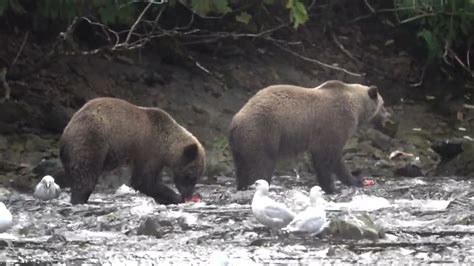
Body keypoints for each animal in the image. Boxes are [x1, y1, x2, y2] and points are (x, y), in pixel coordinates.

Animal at [59, 97, 206, 204]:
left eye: (197, 177)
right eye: (190, 176)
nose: (188, 194)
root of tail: (66, 130)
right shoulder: (149, 150)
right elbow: (143, 181)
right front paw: (175, 197)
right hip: (91, 139)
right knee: (86, 174)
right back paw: (79, 199)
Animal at [229, 80, 388, 194]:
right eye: (383, 104)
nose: (387, 115)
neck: (357, 107)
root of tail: (236, 120)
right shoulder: (333, 125)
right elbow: (329, 158)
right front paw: (341, 185)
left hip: (240, 145)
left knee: (242, 167)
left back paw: (242, 186)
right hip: (262, 132)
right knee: (262, 165)